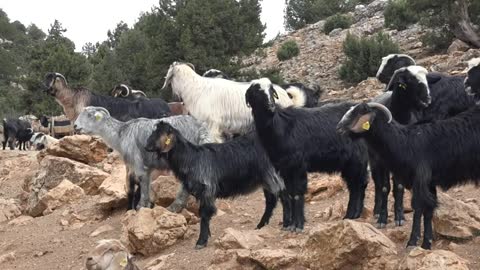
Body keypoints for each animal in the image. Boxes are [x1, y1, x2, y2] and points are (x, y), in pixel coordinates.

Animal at [144, 122, 284, 249]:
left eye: (159, 134)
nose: (146, 147)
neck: (191, 159)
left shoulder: (207, 189)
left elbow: (205, 213)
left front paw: (201, 242)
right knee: (272, 200)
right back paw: (262, 225)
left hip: (272, 174)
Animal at [246, 77, 370, 232]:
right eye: (256, 92)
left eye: (271, 90)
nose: (271, 106)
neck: (280, 126)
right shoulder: (285, 169)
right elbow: (291, 193)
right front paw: (291, 225)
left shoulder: (297, 166)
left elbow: (297, 193)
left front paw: (298, 225)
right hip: (349, 162)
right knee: (355, 186)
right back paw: (351, 215)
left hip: (357, 159)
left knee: (359, 184)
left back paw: (352, 214)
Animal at [336, 102, 480, 249]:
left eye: (359, 113)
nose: (339, 129)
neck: (406, 142)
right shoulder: (429, 183)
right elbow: (429, 210)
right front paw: (426, 243)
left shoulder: (420, 180)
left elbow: (419, 207)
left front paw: (412, 241)